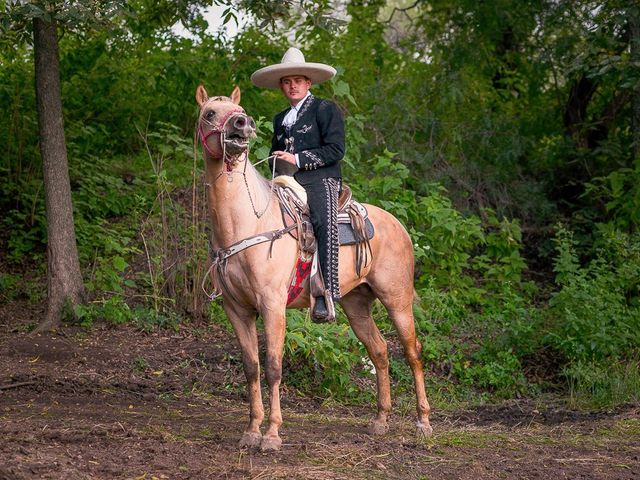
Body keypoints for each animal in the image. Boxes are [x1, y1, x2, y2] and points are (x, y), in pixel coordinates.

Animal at [198, 85, 432, 450]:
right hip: (356, 303)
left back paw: (423, 423)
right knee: (379, 351)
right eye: (210, 113)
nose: (241, 124)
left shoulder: (272, 305)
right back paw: (380, 420)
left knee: (412, 352)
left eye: (240, 110)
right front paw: (251, 430)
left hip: (397, 299)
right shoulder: (236, 309)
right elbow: (252, 367)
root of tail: (398, 225)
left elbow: (273, 366)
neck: (247, 221)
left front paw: (272, 434)